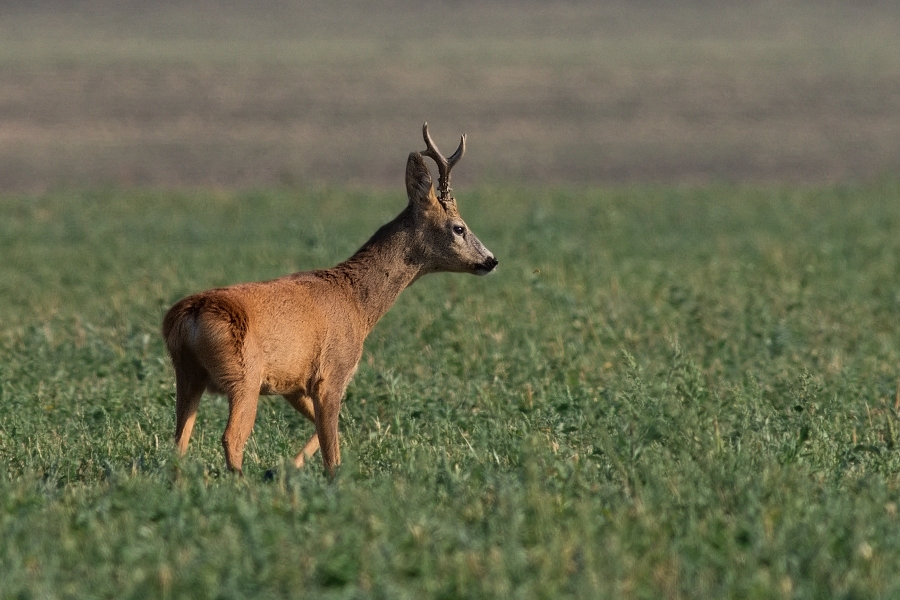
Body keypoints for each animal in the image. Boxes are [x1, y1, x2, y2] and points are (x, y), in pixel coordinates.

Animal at [163, 124, 500, 476]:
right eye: (459, 228)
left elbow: (328, 430)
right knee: (231, 437)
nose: (491, 260)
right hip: (244, 376)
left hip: (187, 373)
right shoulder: (333, 371)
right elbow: (332, 452)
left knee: (178, 440)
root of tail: (191, 315)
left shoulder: (294, 382)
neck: (357, 303)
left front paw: (290, 465)